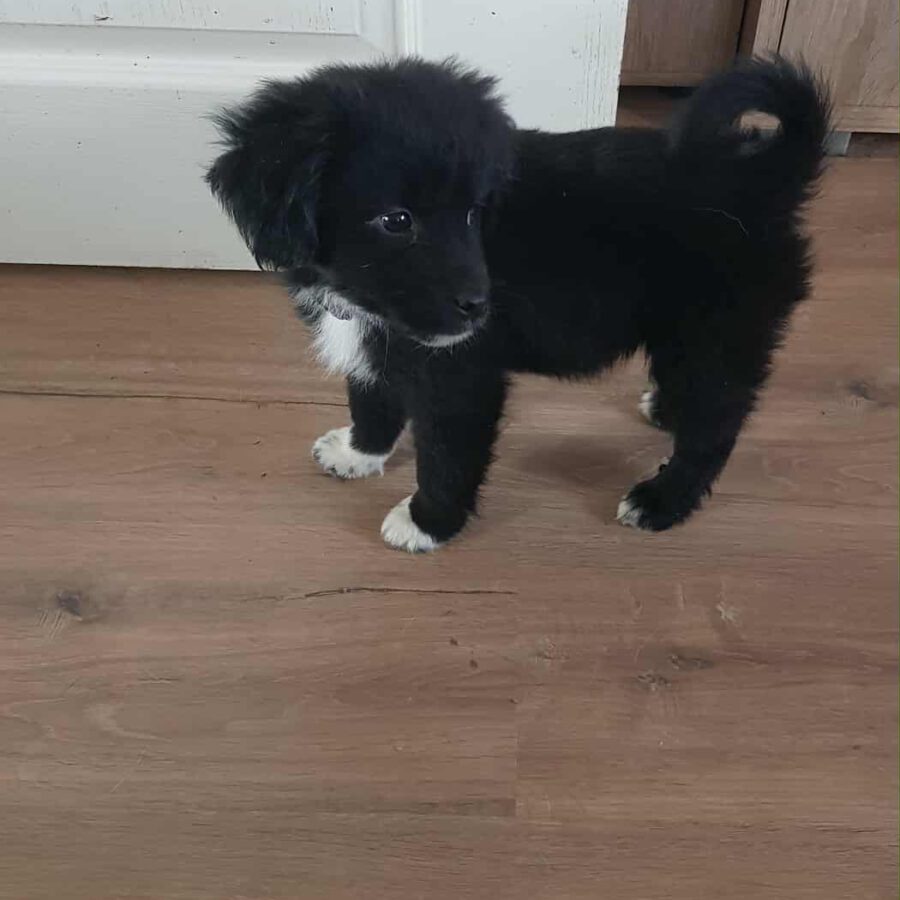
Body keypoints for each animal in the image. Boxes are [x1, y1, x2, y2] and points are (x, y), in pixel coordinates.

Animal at [206, 56, 829, 552]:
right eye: (396, 220)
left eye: (474, 212)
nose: (479, 307)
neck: (356, 296)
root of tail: (765, 176)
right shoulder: (377, 343)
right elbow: (372, 399)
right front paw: (360, 453)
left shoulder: (462, 379)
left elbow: (447, 456)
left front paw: (427, 522)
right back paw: (665, 411)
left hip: (718, 330)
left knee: (717, 423)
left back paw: (662, 500)